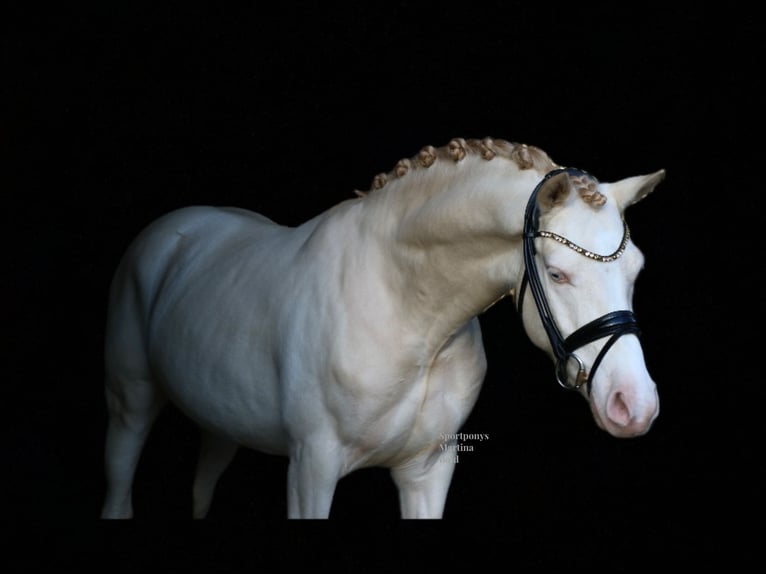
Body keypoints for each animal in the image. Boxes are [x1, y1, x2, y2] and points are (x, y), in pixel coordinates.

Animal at [102, 137, 664, 520]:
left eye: (637, 268)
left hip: (220, 422)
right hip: (131, 407)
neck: (407, 309)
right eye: (557, 273)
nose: (633, 405)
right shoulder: (311, 468)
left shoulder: (428, 471)